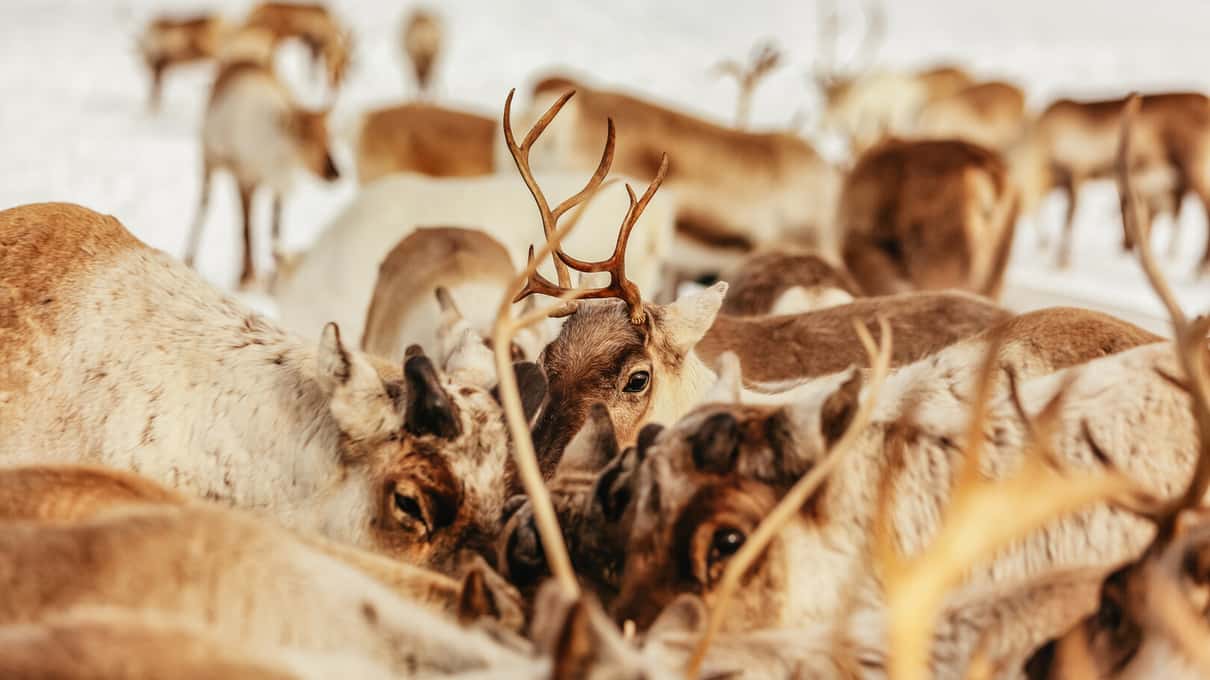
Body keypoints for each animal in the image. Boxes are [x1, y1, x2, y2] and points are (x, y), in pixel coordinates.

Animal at [183, 59, 341, 289]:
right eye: (302, 138)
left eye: (329, 135)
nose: (335, 172)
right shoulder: (244, 178)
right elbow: (247, 228)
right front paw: (245, 276)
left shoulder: (279, 186)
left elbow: (274, 231)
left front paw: (272, 271)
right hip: (209, 160)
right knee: (204, 207)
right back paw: (190, 258)